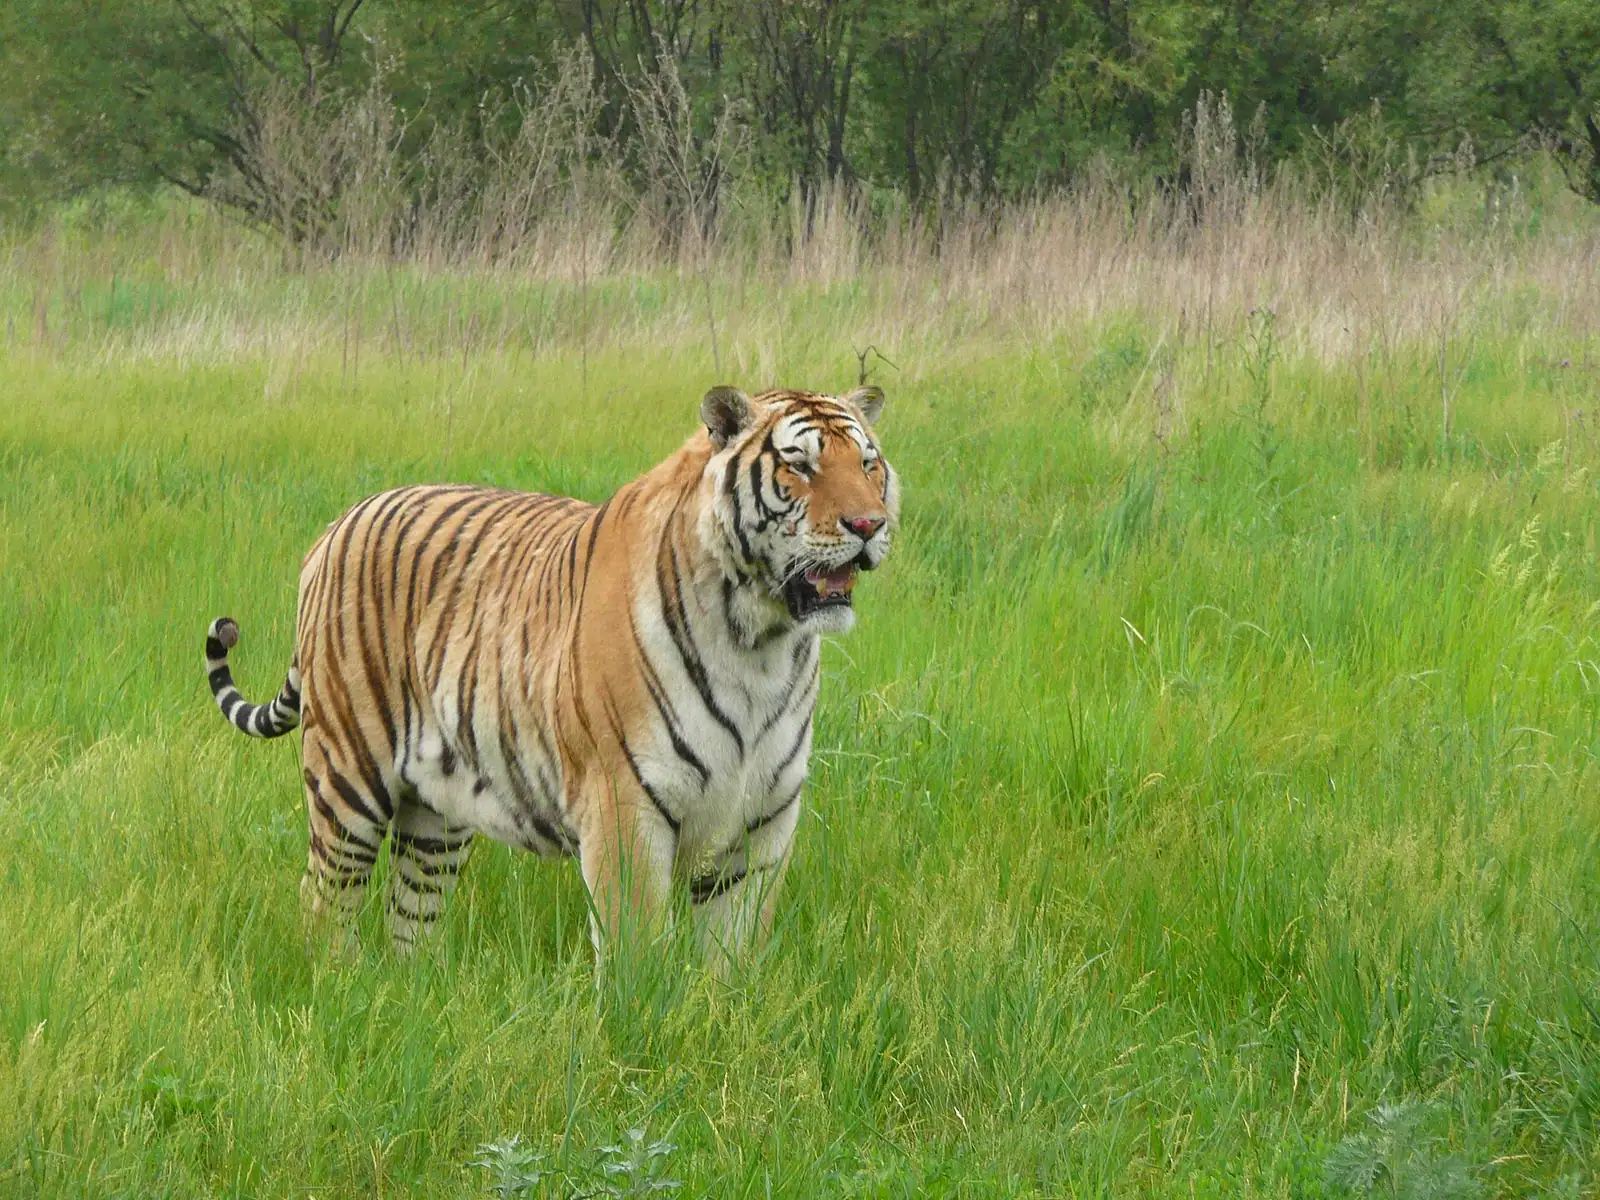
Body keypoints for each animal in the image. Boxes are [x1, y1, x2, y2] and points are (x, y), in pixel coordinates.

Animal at [203, 384, 898, 967]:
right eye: (799, 466)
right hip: (347, 776)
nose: (869, 525)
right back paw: (336, 984)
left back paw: (412, 993)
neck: (761, 642)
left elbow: (731, 961)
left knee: (412, 917)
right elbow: (636, 959)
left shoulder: (761, 825)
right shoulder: (626, 808)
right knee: (324, 897)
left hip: (437, 815)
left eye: (869, 465)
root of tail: (338, 524)